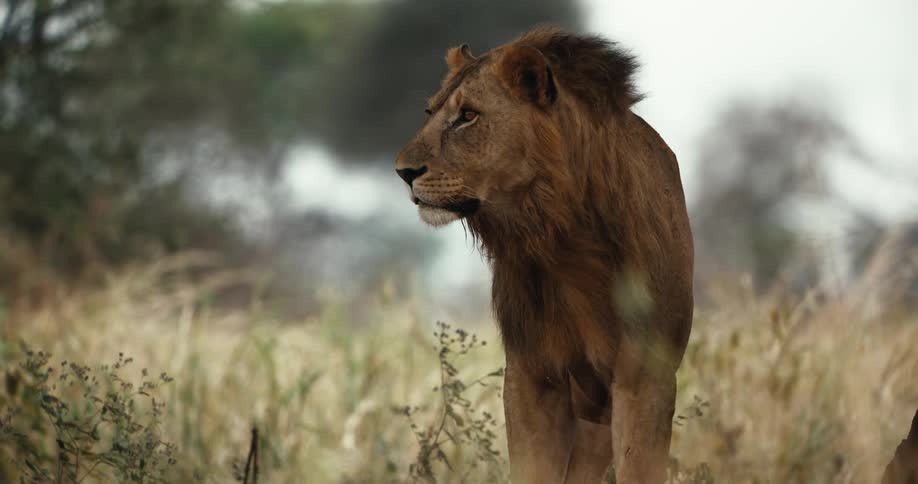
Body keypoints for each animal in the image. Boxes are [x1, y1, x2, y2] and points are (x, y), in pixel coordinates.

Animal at [395, 27, 694, 484]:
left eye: (468, 116)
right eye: (430, 111)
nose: (403, 172)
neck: (563, 232)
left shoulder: (646, 376)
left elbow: (640, 466)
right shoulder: (533, 373)